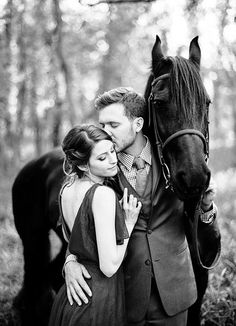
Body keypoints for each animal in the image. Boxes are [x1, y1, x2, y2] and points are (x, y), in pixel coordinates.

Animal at [12, 34, 220, 324]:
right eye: (159, 103)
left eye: (206, 102)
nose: (193, 178)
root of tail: (34, 164)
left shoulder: (198, 285)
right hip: (32, 241)